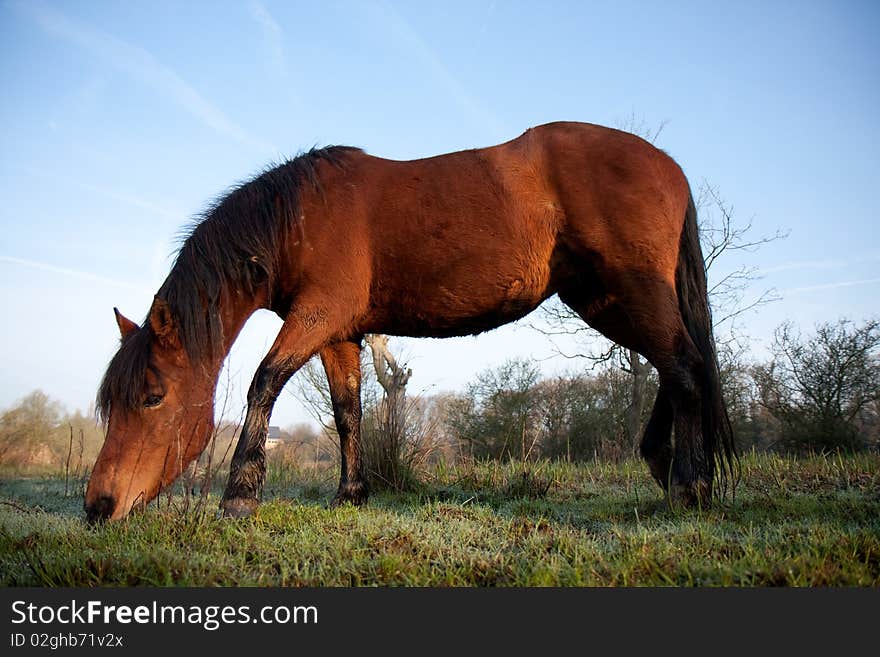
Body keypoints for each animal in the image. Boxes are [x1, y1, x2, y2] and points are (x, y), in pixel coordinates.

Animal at [89, 123, 736, 520]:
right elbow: (348, 413)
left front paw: (239, 495)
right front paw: (351, 493)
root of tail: (669, 166)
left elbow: (264, 382)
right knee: (676, 364)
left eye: (151, 396)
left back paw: (689, 485)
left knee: (683, 367)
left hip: (630, 292)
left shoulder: (314, 316)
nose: (99, 506)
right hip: (603, 299)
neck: (298, 218)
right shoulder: (339, 334)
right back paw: (664, 466)